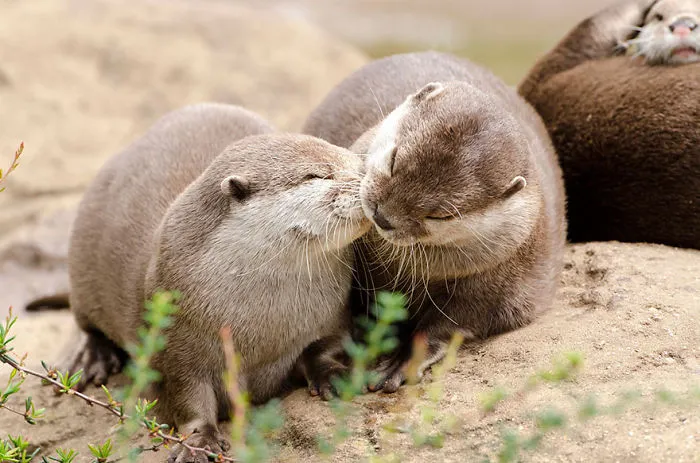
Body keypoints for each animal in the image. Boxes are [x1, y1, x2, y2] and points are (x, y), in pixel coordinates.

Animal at [53, 103, 369, 462]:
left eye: (357, 161)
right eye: (316, 175)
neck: (261, 325)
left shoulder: (333, 313)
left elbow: (325, 346)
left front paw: (334, 375)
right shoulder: (176, 350)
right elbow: (188, 399)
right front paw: (200, 441)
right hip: (81, 262)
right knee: (86, 323)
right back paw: (91, 358)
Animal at [303, 51, 566, 393]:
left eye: (440, 214)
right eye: (394, 159)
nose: (382, 215)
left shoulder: (499, 282)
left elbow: (450, 324)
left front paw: (401, 361)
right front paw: (325, 368)